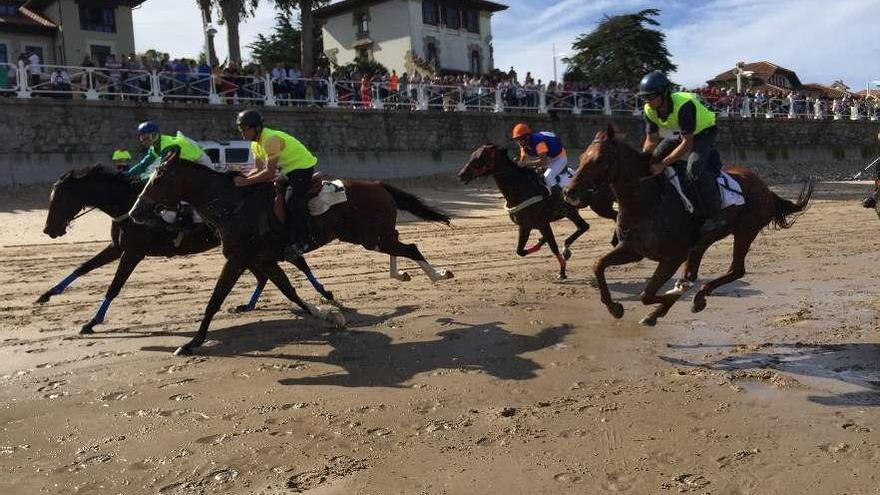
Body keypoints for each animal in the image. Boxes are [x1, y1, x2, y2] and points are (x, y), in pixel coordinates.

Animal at [40, 165, 334, 336]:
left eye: (60, 197)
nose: (48, 230)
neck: (126, 205)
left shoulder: (134, 252)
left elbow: (114, 287)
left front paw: (92, 321)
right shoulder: (118, 247)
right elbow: (83, 267)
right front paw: (47, 294)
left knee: (298, 263)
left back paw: (324, 292)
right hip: (249, 252)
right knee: (265, 275)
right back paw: (249, 305)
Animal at [131, 157, 454, 354]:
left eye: (158, 179)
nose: (135, 212)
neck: (232, 204)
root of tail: (377, 184)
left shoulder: (237, 259)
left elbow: (214, 301)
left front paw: (191, 343)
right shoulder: (263, 260)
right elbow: (289, 291)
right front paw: (327, 314)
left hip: (371, 236)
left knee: (411, 248)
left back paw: (438, 275)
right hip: (370, 237)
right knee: (401, 245)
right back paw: (402, 273)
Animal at [458, 142, 616, 280]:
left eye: (479, 157)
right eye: (472, 154)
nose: (461, 174)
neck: (522, 189)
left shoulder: (543, 223)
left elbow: (553, 247)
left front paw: (562, 271)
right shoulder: (525, 225)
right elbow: (520, 251)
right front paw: (541, 241)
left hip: (600, 206)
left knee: (614, 216)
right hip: (571, 211)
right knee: (583, 226)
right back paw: (568, 248)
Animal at [564, 124, 812, 326]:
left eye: (600, 160)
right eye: (582, 156)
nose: (569, 191)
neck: (647, 200)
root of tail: (766, 189)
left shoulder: (672, 257)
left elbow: (647, 294)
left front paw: (667, 299)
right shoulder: (633, 250)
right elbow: (598, 265)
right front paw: (615, 307)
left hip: (746, 231)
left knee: (736, 269)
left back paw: (699, 297)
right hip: (704, 242)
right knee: (694, 273)